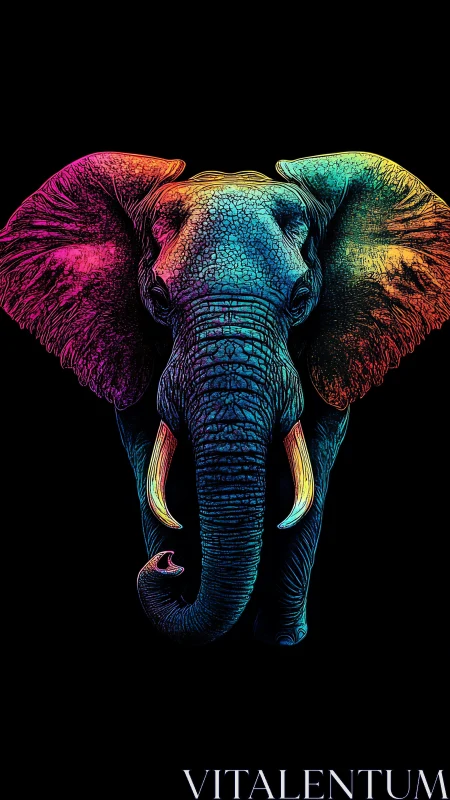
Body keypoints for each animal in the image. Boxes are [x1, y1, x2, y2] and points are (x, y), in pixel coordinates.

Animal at [0, 151, 449, 646]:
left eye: (301, 297)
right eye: (157, 297)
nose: (168, 565)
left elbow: (310, 476)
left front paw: (280, 640)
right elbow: (153, 471)